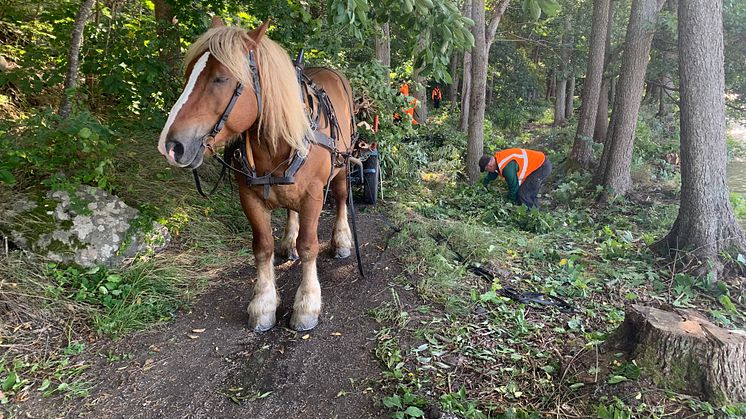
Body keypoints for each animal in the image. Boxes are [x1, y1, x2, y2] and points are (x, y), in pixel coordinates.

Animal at [157, 18, 354, 334]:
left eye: (221, 78)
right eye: (189, 75)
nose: (170, 145)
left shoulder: (313, 194)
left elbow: (309, 245)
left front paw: (307, 304)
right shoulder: (249, 197)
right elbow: (262, 247)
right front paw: (263, 305)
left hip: (342, 167)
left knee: (341, 198)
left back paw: (342, 241)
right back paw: (288, 241)